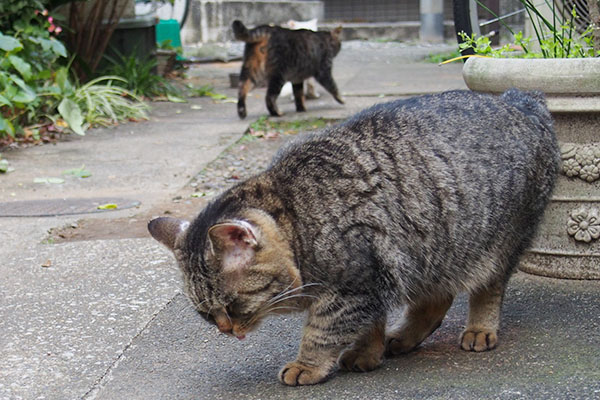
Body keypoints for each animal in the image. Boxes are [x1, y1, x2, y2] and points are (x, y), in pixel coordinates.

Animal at [148, 89, 560, 386]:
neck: (298, 216)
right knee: (437, 298)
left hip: (498, 244)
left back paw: (479, 329)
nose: (226, 330)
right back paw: (405, 337)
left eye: (233, 306)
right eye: (206, 315)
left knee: (488, 289)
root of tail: (522, 100)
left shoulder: (353, 285)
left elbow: (321, 331)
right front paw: (368, 353)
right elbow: (369, 323)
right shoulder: (379, 276)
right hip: (431, 249)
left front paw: (307, 365)